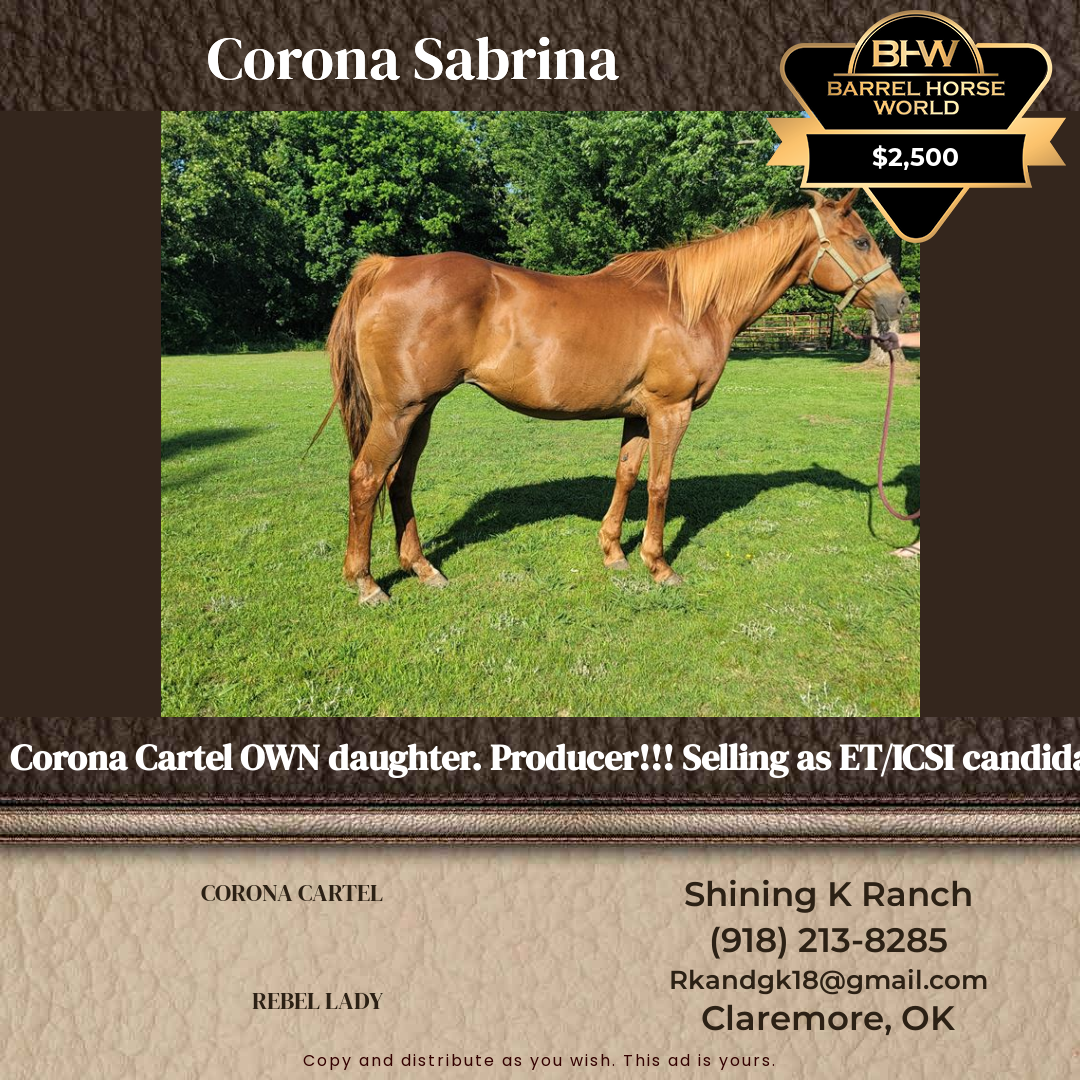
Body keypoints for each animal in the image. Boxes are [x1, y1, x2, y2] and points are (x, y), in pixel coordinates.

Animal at [317, 188, 908, 605]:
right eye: (861, 241)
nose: (898, 300)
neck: (693, 304)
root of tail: (387, 267)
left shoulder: (639, 414)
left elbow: (626, 475)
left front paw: (613, 555)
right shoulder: (671, 411)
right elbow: (661, 486)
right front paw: (659, 566)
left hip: (421, 413)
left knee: (399, 481)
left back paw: (423, 570)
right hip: (398, 413)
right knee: (366, 479)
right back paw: (367, 584)